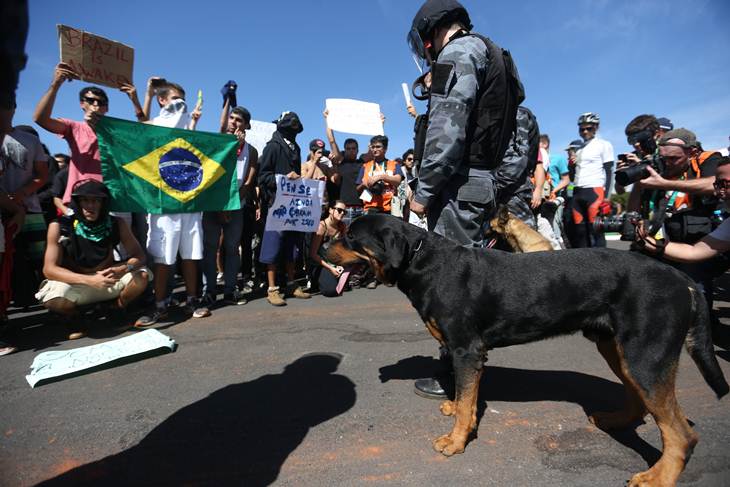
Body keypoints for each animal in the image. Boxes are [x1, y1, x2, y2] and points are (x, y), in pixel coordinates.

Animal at [328, 214, 724, 487]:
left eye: (351, 236)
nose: (322, 247)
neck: (421, 262)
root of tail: (683, 279)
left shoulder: (467, 350)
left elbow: (467, 399)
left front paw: (455, 441)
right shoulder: (463, 352)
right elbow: (467, 396)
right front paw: (457, 411)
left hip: (646, 354)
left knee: (681, 434)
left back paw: (656, 478)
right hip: (616, 347)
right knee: (640, 401)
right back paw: (613, 421)